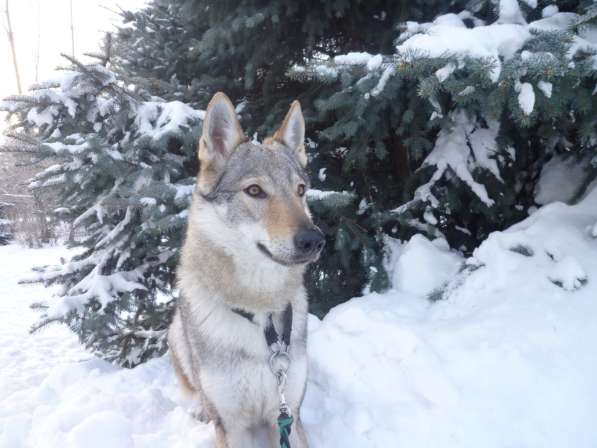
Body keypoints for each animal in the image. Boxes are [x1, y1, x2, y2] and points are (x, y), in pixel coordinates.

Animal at [168, 92, 324, 448]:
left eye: (300, 190)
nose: (314, 240)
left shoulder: (288, 411)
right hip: (176, 334)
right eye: (254, 191)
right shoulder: (232, 425)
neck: (259, 312)